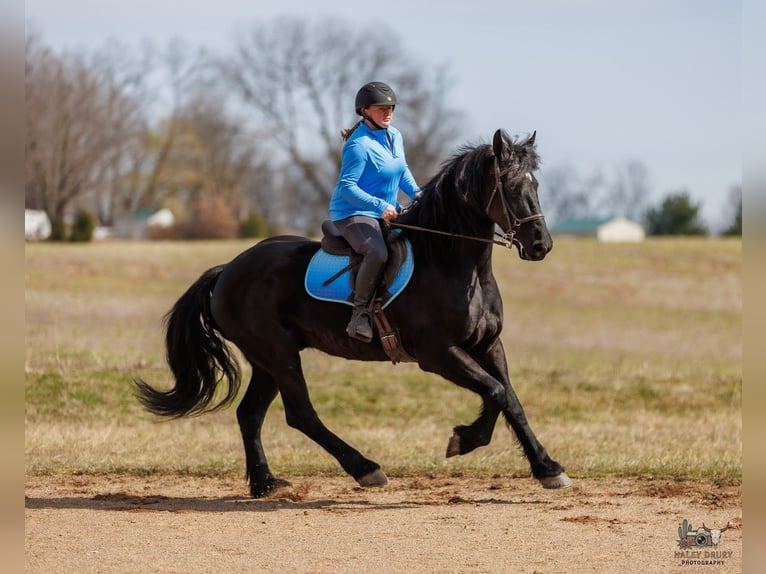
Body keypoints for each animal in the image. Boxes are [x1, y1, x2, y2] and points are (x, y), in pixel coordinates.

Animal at [135, 129, 572, 497]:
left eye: (535, 185)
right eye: (511, 187)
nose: (541, 245)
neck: (452, 263)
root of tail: (227, 269)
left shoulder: (488, 346)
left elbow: (509, 399)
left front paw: (546, 467)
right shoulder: (438, 355)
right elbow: (496, 392)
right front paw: (465, 440)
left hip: (266, 360)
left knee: (250, 414)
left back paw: (265, 484)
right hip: (278, 354)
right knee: (300, 415)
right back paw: (365, 468)